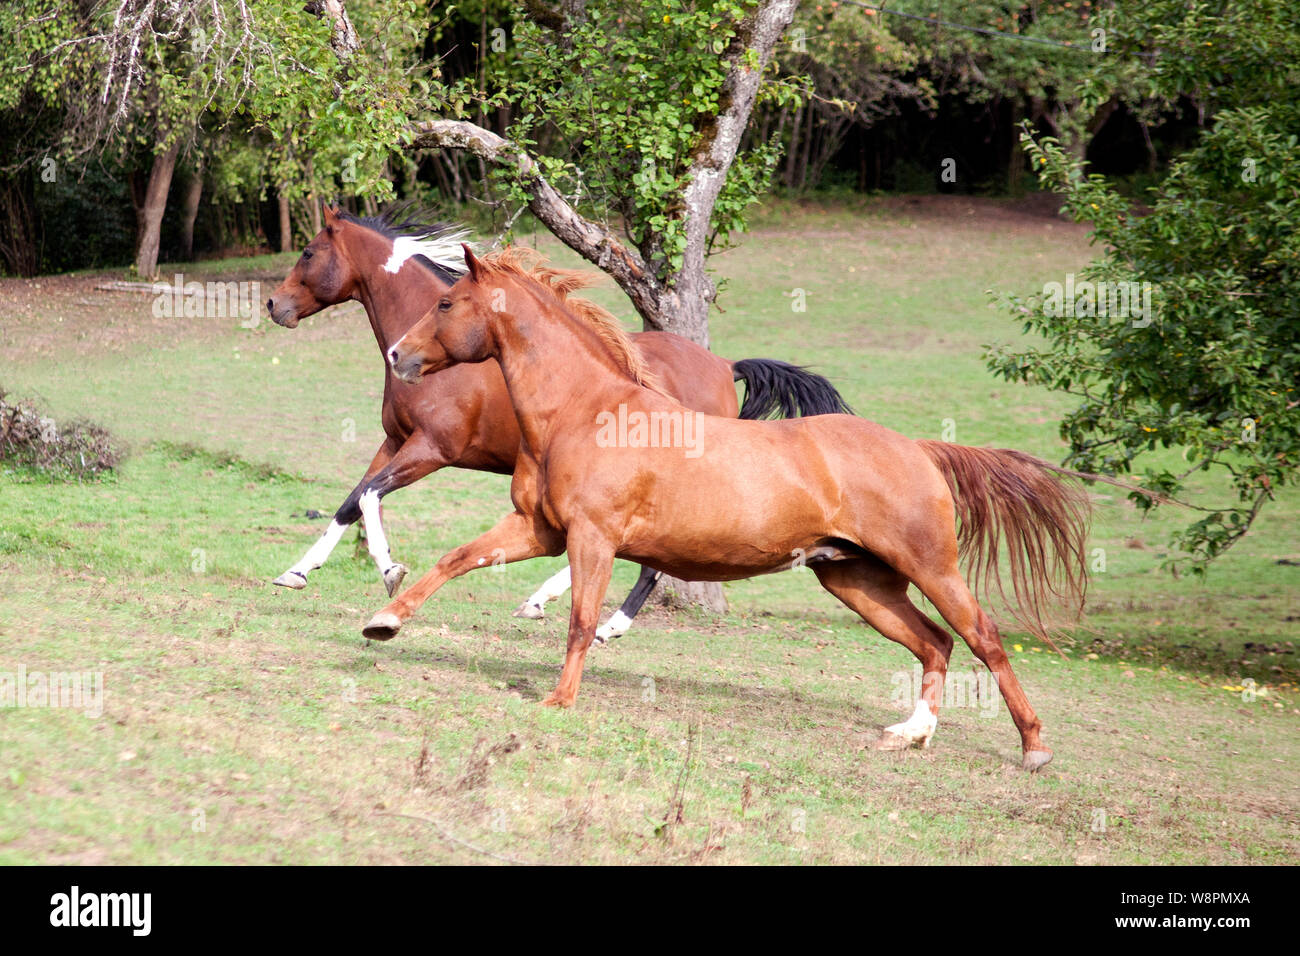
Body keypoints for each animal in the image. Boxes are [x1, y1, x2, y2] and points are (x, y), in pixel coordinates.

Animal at [264, 205, 851, 642]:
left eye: (308, 252)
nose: (273, 304)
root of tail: (725, 366)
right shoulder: (395, 441)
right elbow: (350, 502)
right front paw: (296, 572)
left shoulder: (432, 449)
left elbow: (368, 496)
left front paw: (390, 571)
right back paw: (551, 604)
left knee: (648, 561)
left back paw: (594, 621)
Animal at [366, 245, 1102, 773]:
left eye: (447, 301)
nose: (398, 355)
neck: (586, 410)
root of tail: (919, 449)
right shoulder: (538, 530)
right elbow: (454, 559)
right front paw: (384, 621)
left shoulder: (591, 539)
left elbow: (579, 621)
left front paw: (559, 698)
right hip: (857, 578)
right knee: (934, 642)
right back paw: (910, 733)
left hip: (930, 567)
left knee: (982, 638)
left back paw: (1034, 748)